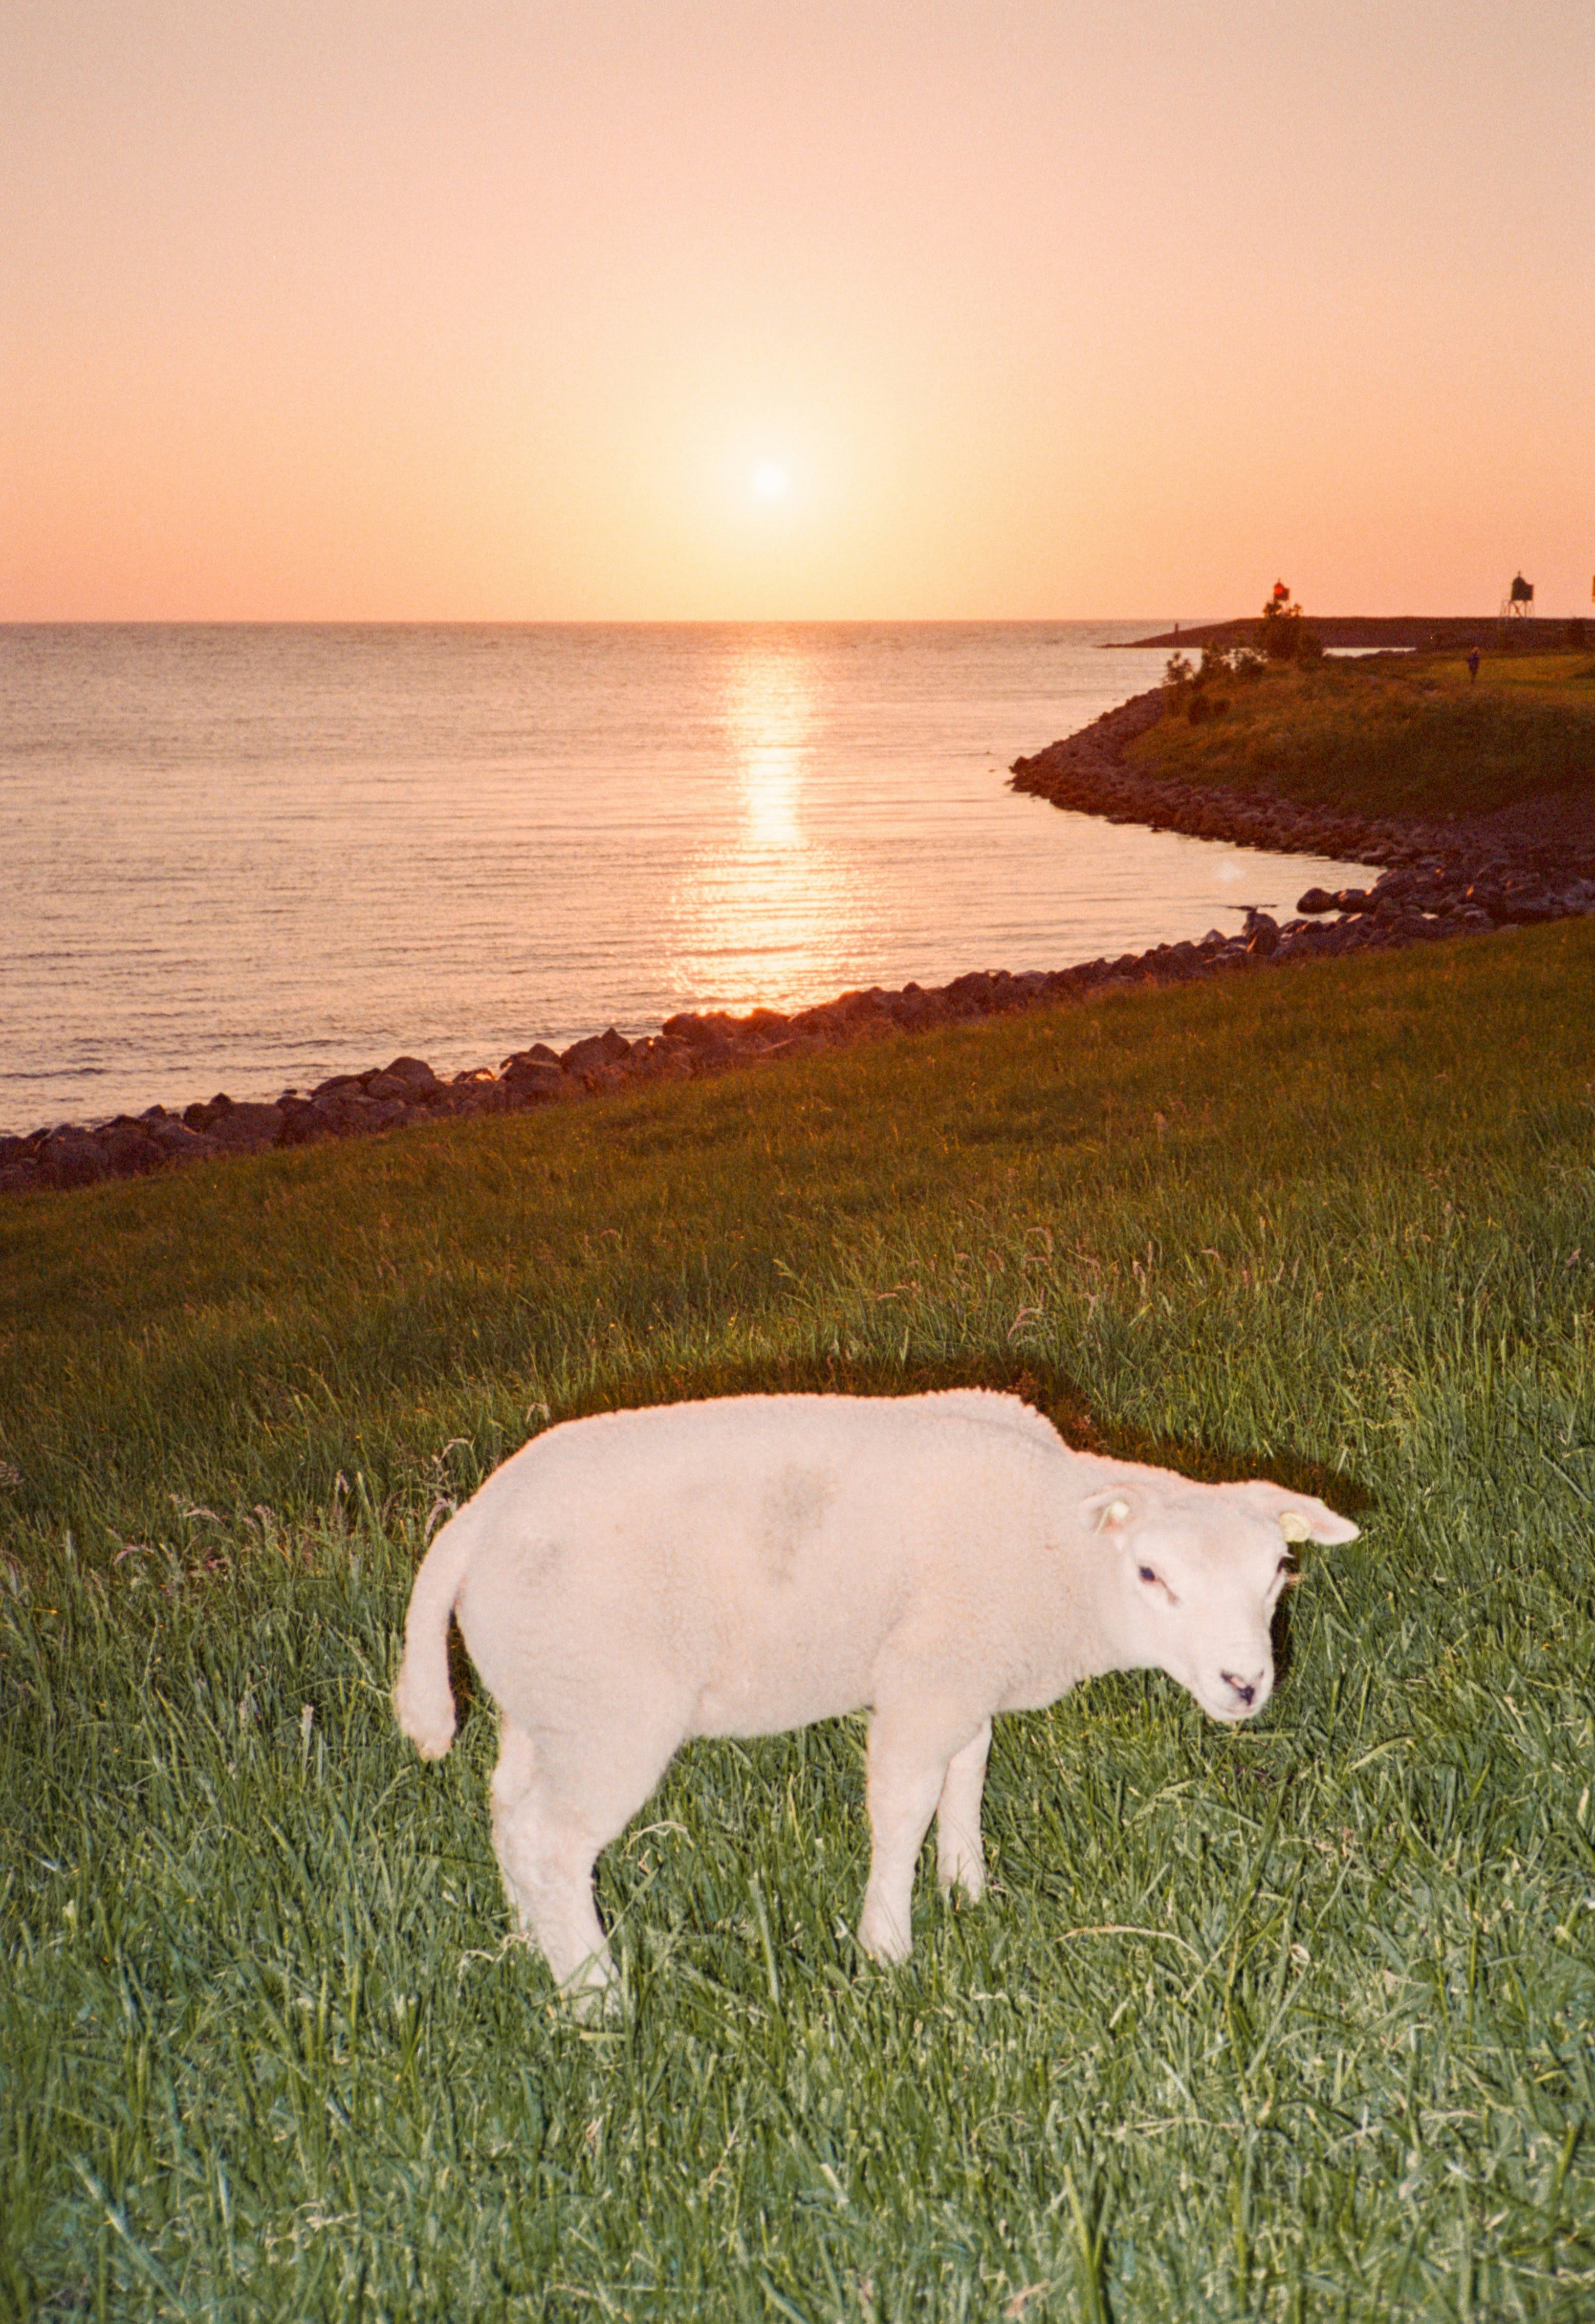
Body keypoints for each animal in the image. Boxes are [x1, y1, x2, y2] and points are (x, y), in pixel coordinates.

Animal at [394, 1390, 1358, 2000]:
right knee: (551, 1841)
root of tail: (475, 1519)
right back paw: (595, 1998)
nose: (1245, 1683)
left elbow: (967, 1773)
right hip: (608, 1707)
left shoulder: (966, 1668)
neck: (1053, 1543)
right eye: (1151, 1574)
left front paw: (966, 1885)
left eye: (1278, 1569)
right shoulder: (928, 1674)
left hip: (542, 1695)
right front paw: (885, 1948)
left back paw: (529, 1943)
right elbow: (900, 1807)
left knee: (507, 1809)